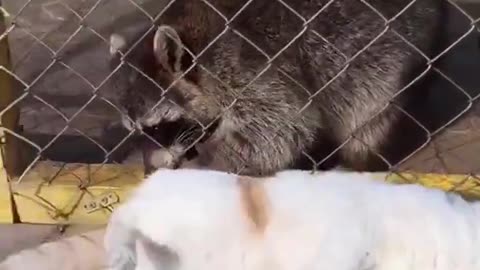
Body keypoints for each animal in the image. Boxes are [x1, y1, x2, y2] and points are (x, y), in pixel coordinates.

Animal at [109, 0, 446, 176]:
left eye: (157, 128)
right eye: (135, 133)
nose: (149, 172)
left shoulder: (249, 72)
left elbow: (283, 131)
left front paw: (209, 164)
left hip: (385, 52)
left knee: (366, 114)